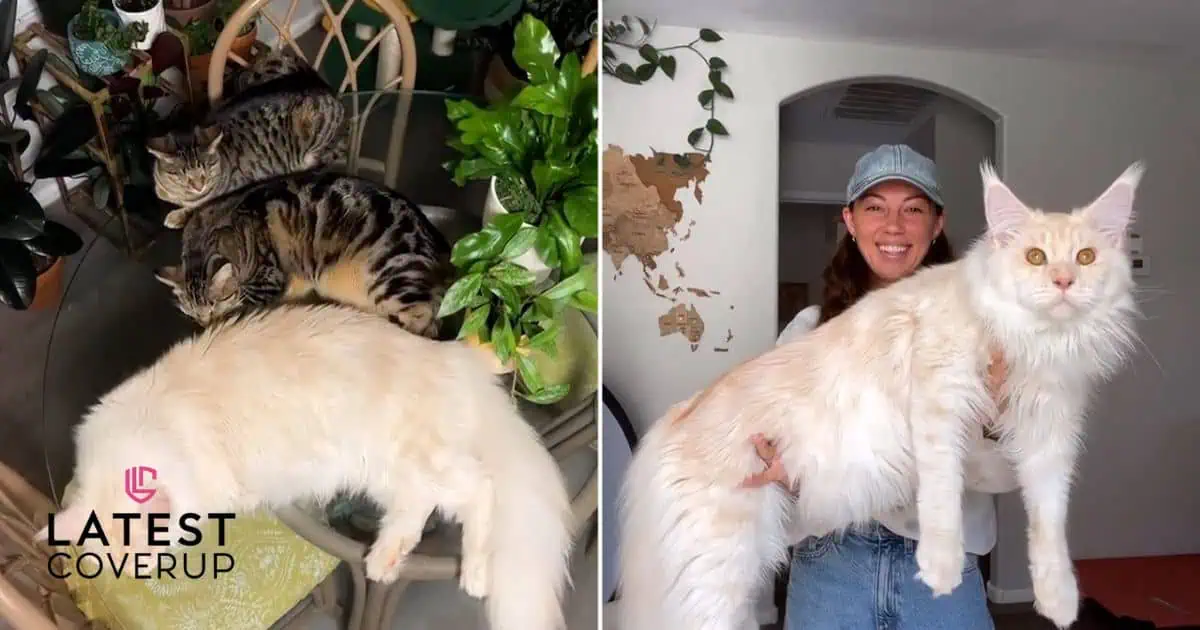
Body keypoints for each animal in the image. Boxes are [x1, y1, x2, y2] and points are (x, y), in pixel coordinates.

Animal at [36, 303, 576, 628]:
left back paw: (475, 575)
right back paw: (383, 562)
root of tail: (455, 359)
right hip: (386, 473)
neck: (153, 429)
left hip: (413, 458)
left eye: (150, 547)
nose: (149, 568)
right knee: (416, 511)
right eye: (127, 563)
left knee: (480, 489)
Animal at [151, 169, 451, 338]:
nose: (206, 324)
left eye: (215, 306)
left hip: (392, 277)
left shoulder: (266, 280)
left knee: (424, 321)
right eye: (194, 315)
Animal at [619, 163, 1142, 628]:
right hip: (715, 579)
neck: (1038, 342)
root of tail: (677, 416)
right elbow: (941, 493)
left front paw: (1060, 601)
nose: (1063, 282)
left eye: (1086, 258)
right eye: (1035, 257)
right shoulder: (939, 401)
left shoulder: (1049, 434)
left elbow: (1050, 522)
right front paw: (941, 567)